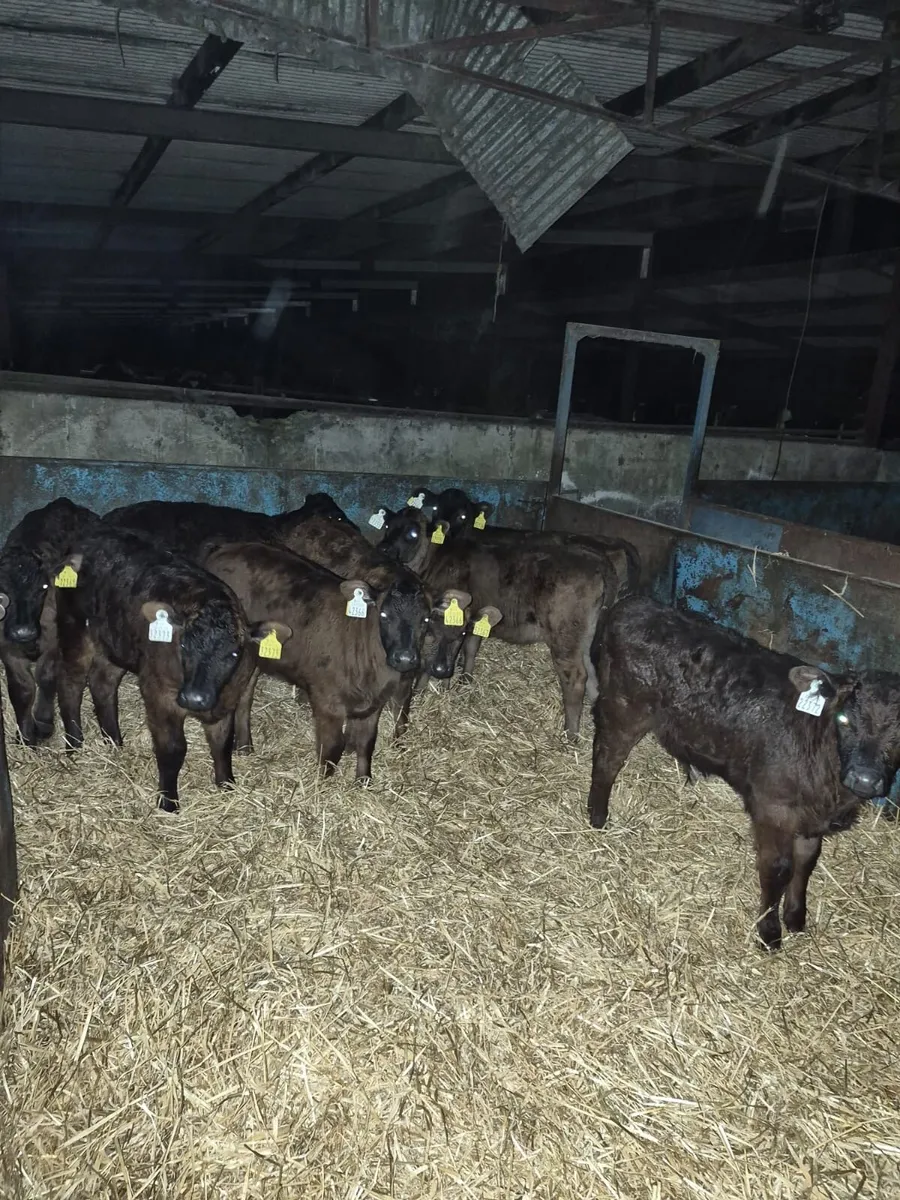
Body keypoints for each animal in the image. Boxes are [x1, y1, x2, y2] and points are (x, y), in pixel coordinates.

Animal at [0, 497, 100, 744]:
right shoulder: (7, 648)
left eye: (43, 588)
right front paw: (25, 735)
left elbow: (45, 678)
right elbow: (22, 689)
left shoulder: (54, 640)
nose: (23, 632)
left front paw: (44, 724)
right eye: (3, 590)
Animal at [53, 527, 286, 812]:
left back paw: (114, 741)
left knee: (103, 683)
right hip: (75, 630)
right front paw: (168, 802)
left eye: (233, 653)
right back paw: (74, 744)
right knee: (70, 683)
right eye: (183, 644)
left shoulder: (228, 699)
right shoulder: (160, 694)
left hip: (116, 642)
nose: (195, 698)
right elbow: (173, 749)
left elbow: (222, 742)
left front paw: (227, 784)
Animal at [205, 542, 463, 780]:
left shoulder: (374, 704)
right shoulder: (326, 702)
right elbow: (331, 749)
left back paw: (245, 746)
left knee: (245, 695)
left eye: (426, 619)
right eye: (384, 615)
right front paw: (322, 785)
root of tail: (224, 551)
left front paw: (363, 781)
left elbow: (367, 743)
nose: (405, 658)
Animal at [378, 508, 620, 739]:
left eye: (412, 533)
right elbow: (470, 647)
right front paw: (462, 681)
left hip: (565, 636)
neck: (436, 557)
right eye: (387, 526)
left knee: (576, 678)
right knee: (592, 675)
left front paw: (426, 688)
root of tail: (596, 559)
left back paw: (570, 735)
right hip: (585, 638)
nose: (384, 550)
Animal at [587, 595, 900, 951]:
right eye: (844, 719)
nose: (864, 779)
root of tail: (632, 604)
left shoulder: (812, 819)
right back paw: (597, 817)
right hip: (625, 709)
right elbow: (778, 869)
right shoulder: (773, 808)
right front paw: (770, 932)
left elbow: (806, 862)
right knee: (607, 759)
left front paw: (796, 917)